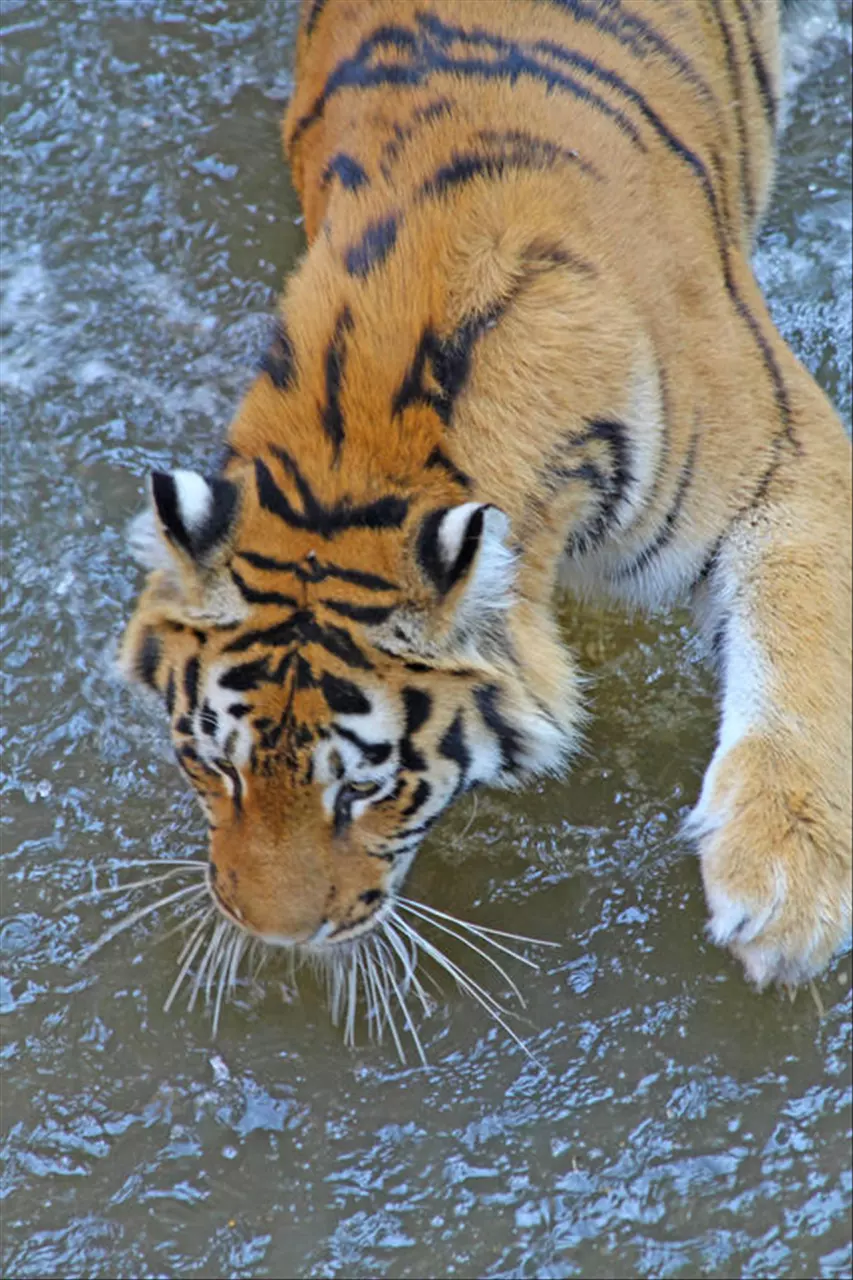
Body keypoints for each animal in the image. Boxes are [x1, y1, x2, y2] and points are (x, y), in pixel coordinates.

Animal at [119, 0, 850, 998]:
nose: (272, 935)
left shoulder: (785, 456)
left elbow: (800, 642)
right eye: (212, 767)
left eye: (363, 789)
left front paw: (784, 890)